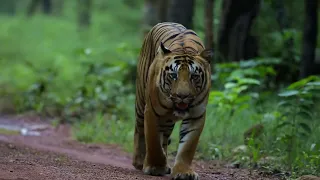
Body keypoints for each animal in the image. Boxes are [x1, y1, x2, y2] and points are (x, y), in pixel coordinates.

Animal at [132, 22, 212, 180]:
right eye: (173, 75)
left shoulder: (197, 115)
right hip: (141, 104)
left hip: (167, 121)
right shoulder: (152, 111)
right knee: (139, 130)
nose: (182, 96)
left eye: (194, 76)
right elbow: (153, 141)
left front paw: (184, 172)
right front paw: (155, 167)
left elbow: (188, 146)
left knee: (164, 136)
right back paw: (139, 161)